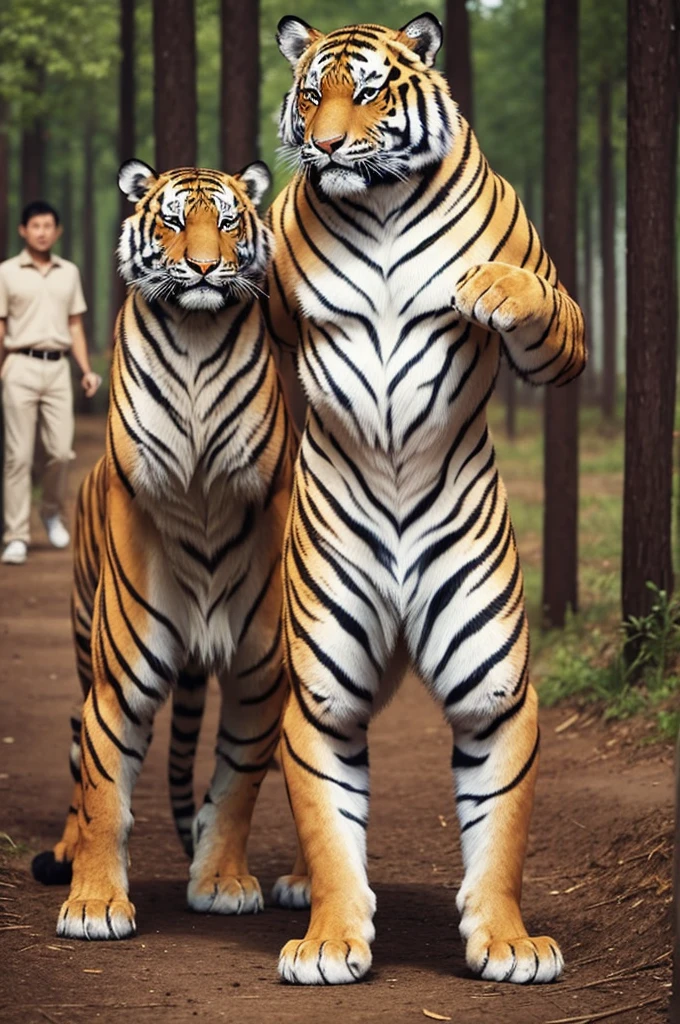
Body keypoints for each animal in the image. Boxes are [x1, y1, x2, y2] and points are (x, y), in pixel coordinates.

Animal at [31, 161, 296, 942]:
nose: (205, 266)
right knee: (75, 746)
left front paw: (222, 880)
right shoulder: (117, 682)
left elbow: (235, 788)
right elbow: (104, 795)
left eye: (229, 221)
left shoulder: (259, 678)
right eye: (176, 221)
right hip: (85, 641)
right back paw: (61, 853)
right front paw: (93, 902)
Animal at [264, 9, 585, 983]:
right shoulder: (320, 701)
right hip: (320, 650)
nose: (327, 144)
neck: (376, 205)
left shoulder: (498, 698)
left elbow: (500, 827)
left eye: (369, 93)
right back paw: (297, 888)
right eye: (310, 94)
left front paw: (509, 942)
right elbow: (328, 818)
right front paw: (331, 938)